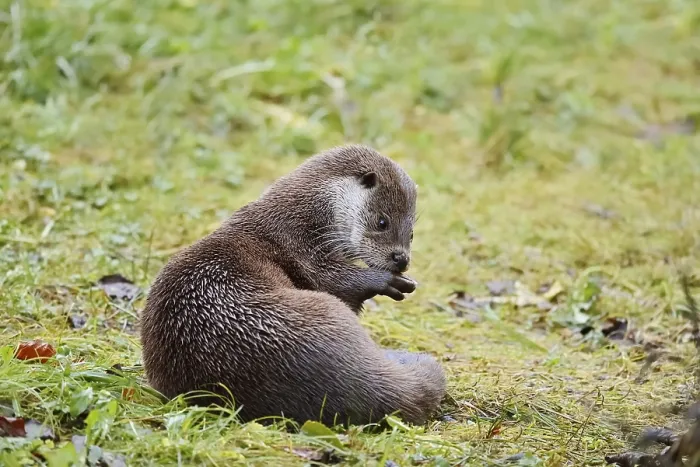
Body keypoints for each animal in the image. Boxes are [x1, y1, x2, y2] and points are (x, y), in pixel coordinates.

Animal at [140, 144, 446, 426]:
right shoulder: (304, 249)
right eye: (382, 222)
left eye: (412, 233)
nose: (401, 259)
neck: (308, 214)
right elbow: (335, 280)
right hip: (326, 308)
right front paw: (386, 281)